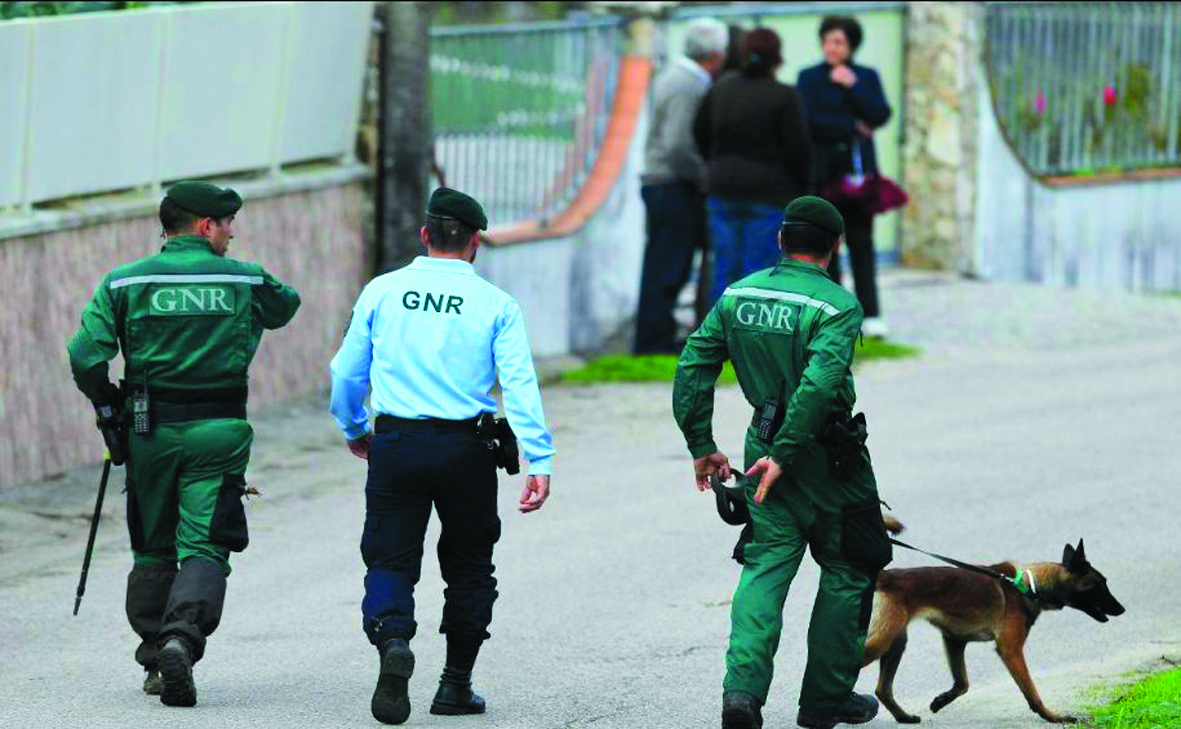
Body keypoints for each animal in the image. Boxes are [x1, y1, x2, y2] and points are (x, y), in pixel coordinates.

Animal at [869, 522, 1124, 723]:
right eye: (1100, 584)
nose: (1122, 609)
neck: (1029, 586)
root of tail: (885, 576)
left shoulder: (954, 640)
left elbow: (962, 683)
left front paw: (941, 700)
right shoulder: (1010, 650)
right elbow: (1032, 693)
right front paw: (1053, 717)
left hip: (897, 641)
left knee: (882, 689)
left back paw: (903, 717)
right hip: (882, 640)